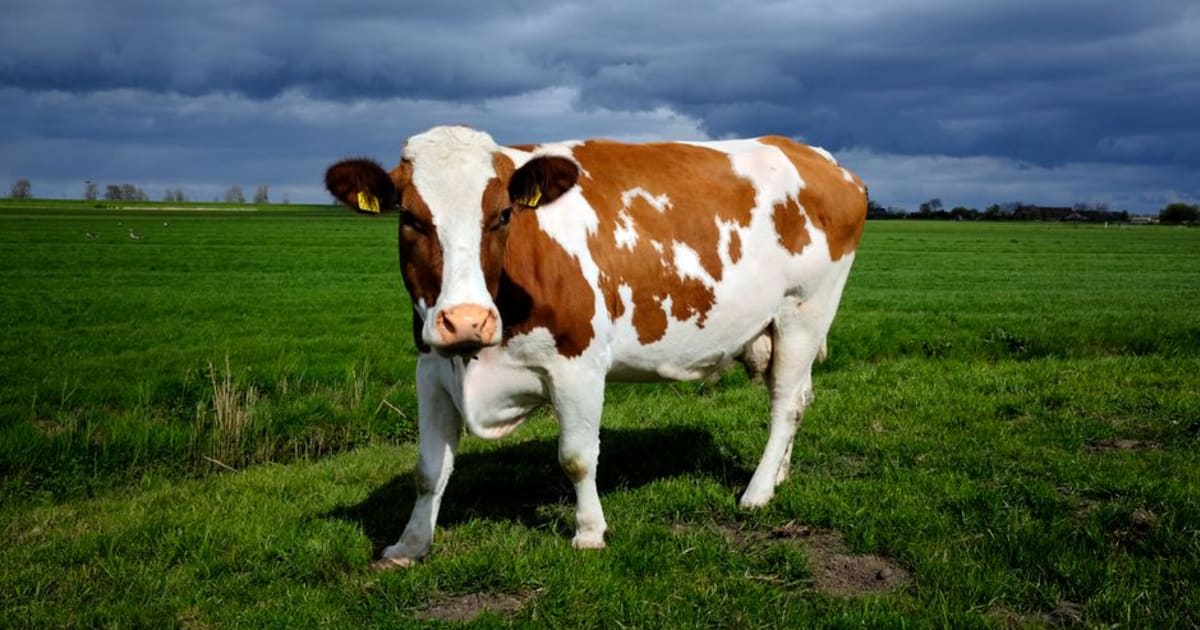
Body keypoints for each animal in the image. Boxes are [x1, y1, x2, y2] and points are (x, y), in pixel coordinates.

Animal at [325, 125, 867, 569]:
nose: (466, 321)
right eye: (411, 218)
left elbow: (578, 456)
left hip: (804, 311)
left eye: (502, 215)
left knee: (785, 404)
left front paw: (589, 532)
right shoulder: (431, 369)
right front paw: (410, 544)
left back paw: (757, 492)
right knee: (800, 395)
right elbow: (428, 469)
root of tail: (816, 156)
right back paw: (779, 477)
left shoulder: (578, 365)